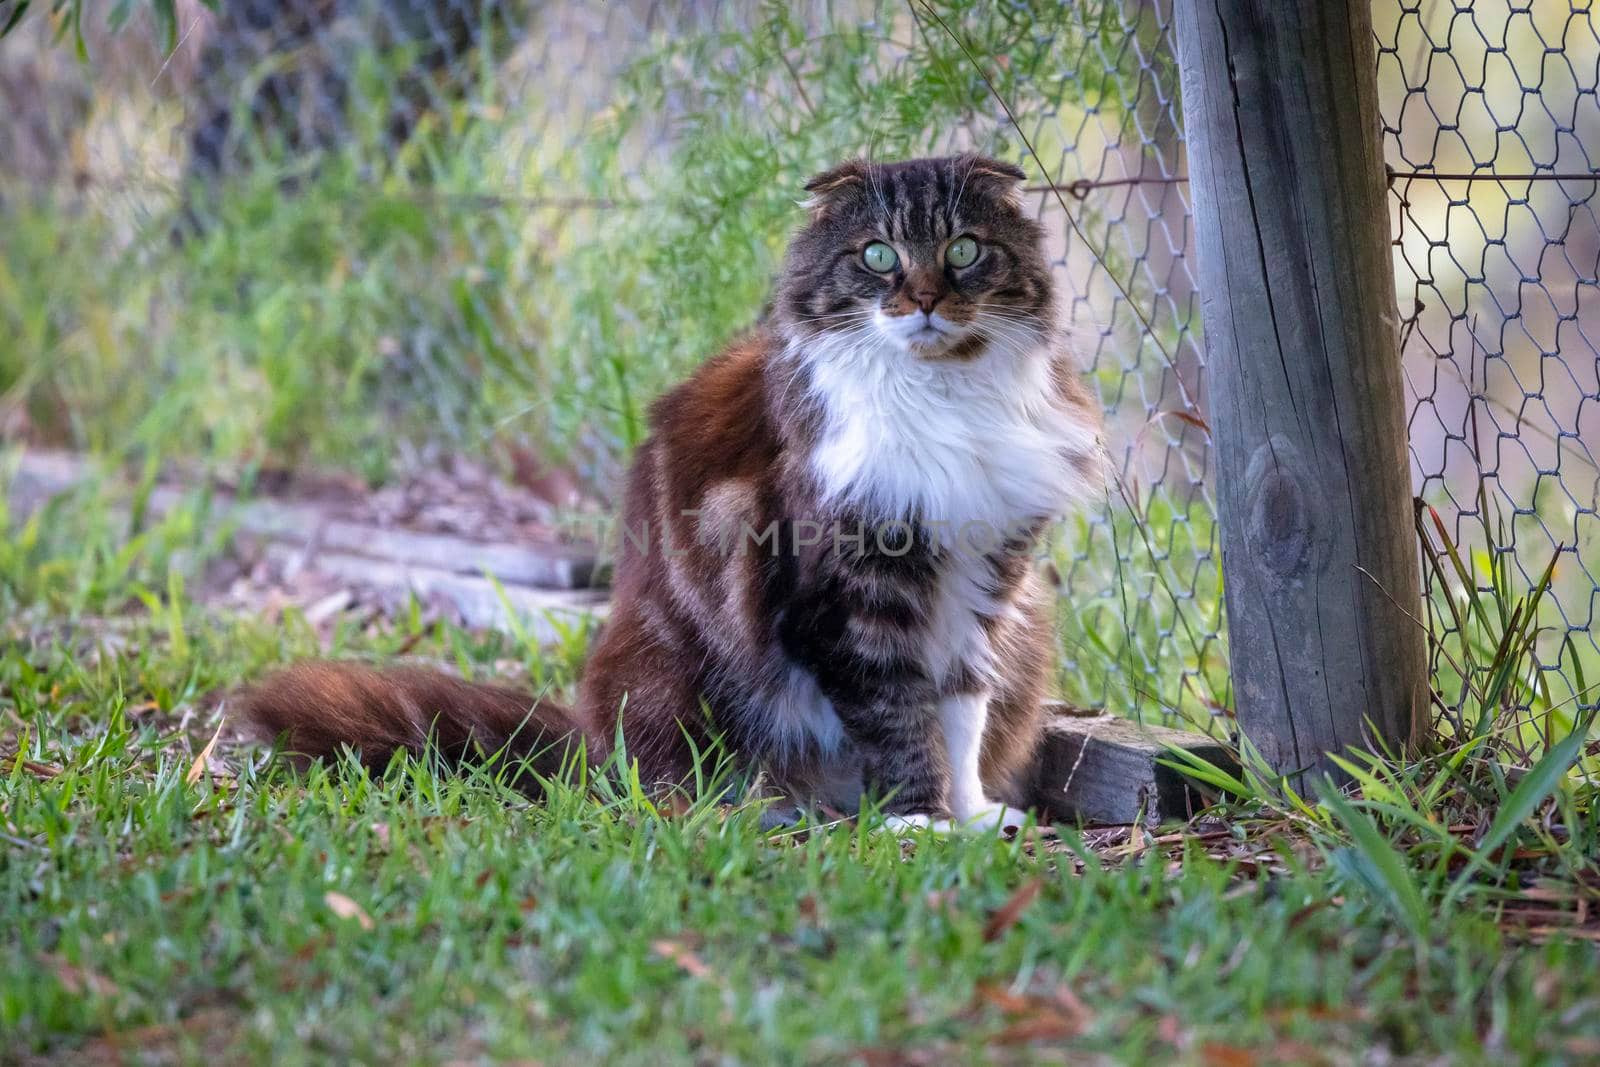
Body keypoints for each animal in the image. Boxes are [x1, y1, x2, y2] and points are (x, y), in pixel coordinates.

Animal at [243, 154, 1107, 831]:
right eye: (877, 255)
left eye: (963, 250)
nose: (925, 299)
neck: (946, 400)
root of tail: (584, 739)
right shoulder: (851, 600)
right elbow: (899, 719)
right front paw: (919, 820)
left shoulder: (980, 582)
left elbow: (960, 711)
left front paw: (968, 813)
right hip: (664, 679)